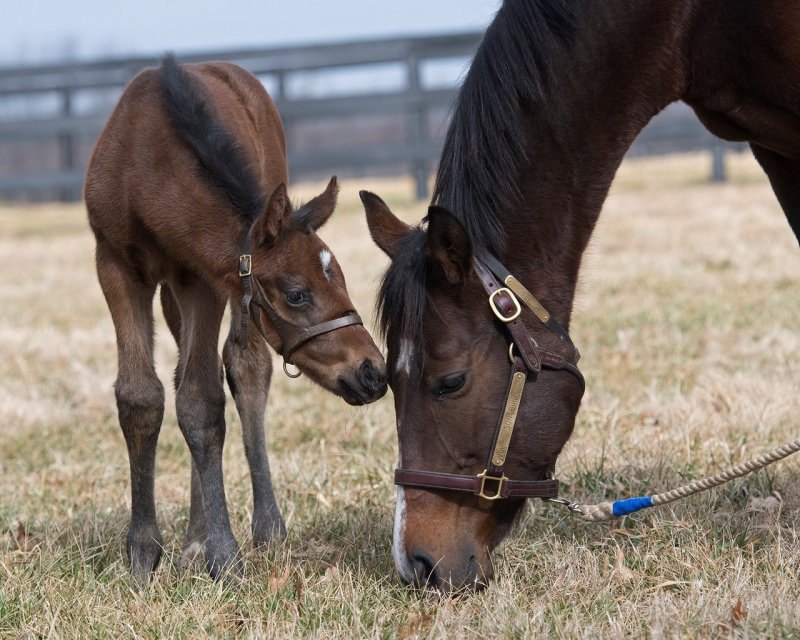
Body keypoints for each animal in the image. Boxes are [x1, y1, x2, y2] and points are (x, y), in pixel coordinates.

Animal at [87, 56, 388, 584]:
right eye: (297, 294)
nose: (373, 372)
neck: (146, 168)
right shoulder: (116, 265)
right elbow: (142, 396)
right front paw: (143, 553)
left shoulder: (201, 278)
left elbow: (202, 402)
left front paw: (224, 555)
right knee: (186, 373)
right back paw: (194, 538)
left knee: (246, 369)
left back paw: (259, 529)